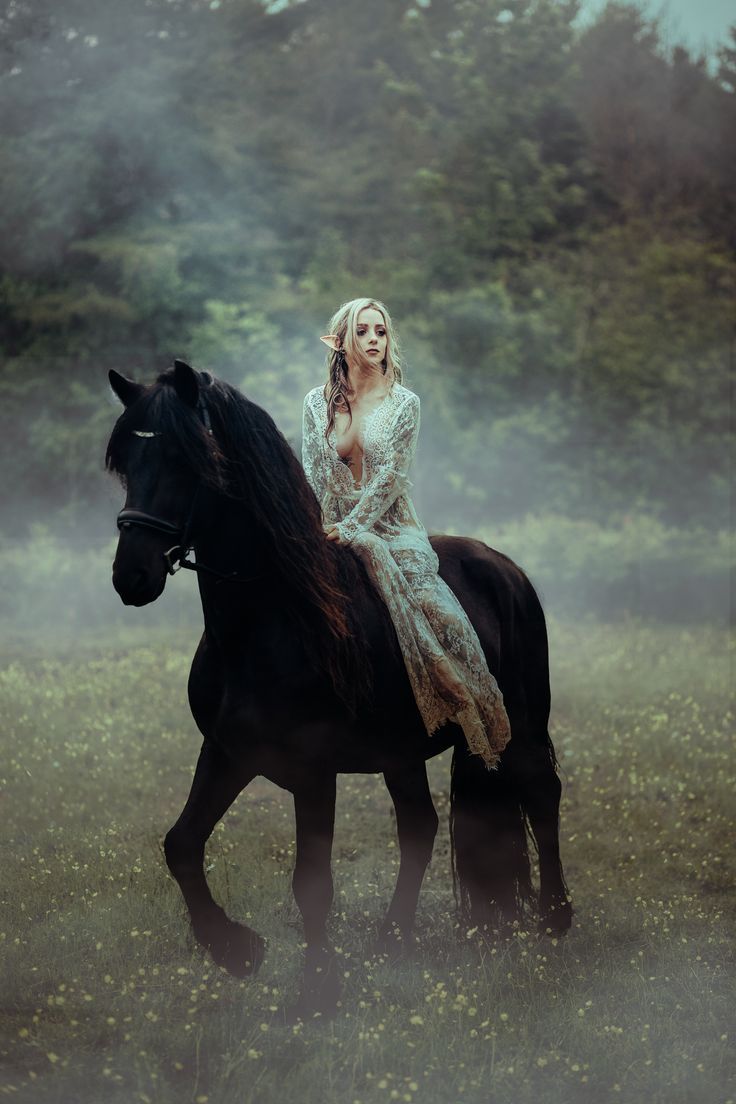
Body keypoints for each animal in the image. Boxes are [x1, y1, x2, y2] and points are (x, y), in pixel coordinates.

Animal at [106, 362, 573, 1015]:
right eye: (125, 460)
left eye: (183, 459)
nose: (132, 575)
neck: (275, 617)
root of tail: (504, 566)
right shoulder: (226, 752)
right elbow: (181, 845)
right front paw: (235, 949)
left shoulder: (312, 771)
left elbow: (312, 884)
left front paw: (316, 991)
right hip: (402, 751)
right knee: (420, 827)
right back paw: (392, 937)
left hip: (521, 724)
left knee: (542, 794)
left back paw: (555, 919)